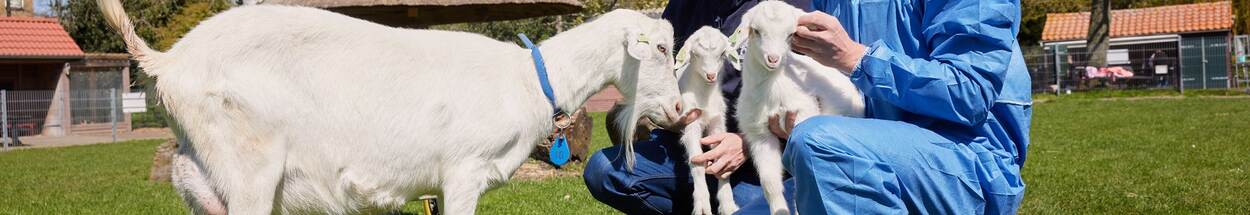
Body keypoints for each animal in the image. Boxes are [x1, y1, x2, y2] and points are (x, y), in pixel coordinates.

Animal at [96, 1, 685, 213]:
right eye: (659, 47)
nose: (682, 112)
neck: (527, 79)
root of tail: (168, 62)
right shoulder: (463, 172)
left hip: (202, 178)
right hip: (249, 167)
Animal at [735, 1, 865, 213]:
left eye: (790, 35)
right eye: (756, 31)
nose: (773, 59)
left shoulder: (801, 117)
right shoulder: (759, 134)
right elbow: (769, 184)